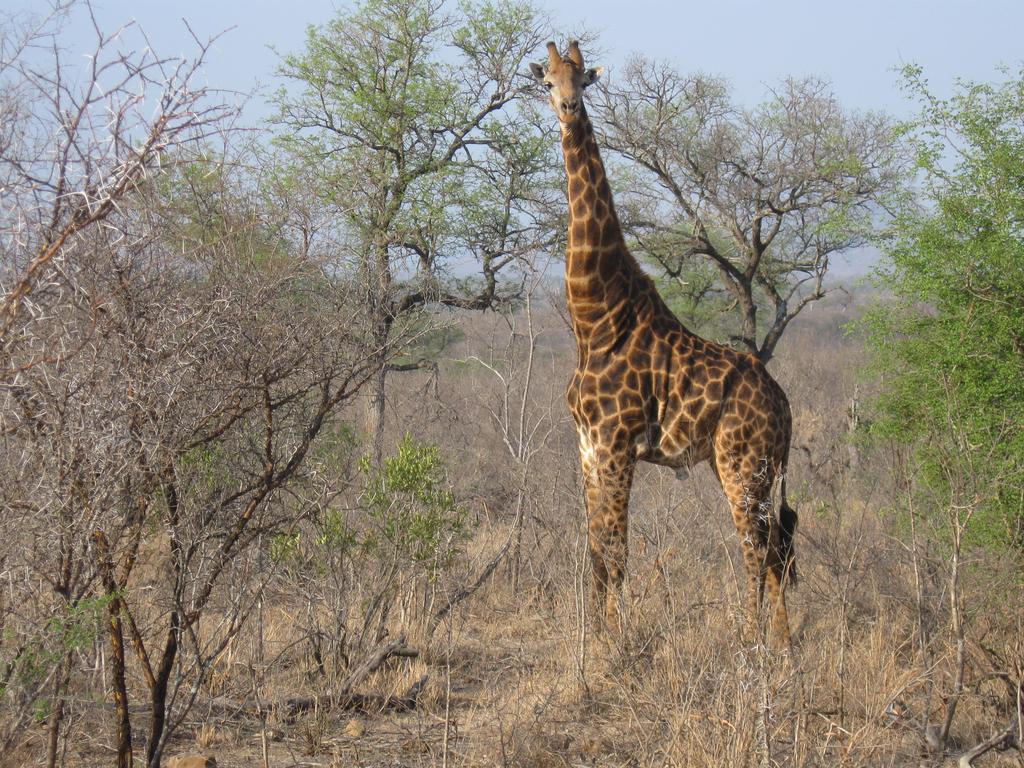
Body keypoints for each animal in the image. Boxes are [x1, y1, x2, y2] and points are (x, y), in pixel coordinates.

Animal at [536, 41, 798, 651]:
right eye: (547, 82)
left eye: (582, 79)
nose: (568, 108)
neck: (596, 318)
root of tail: (785, 406)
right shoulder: (587, 445)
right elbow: (596, 550)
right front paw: (595, 634)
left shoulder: (615, 443)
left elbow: (616, 550)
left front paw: (615, 640)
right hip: (755, 467)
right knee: (777, 549)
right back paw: (785, 644)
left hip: (741, 462)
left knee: (755, 549)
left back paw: (751, 643)